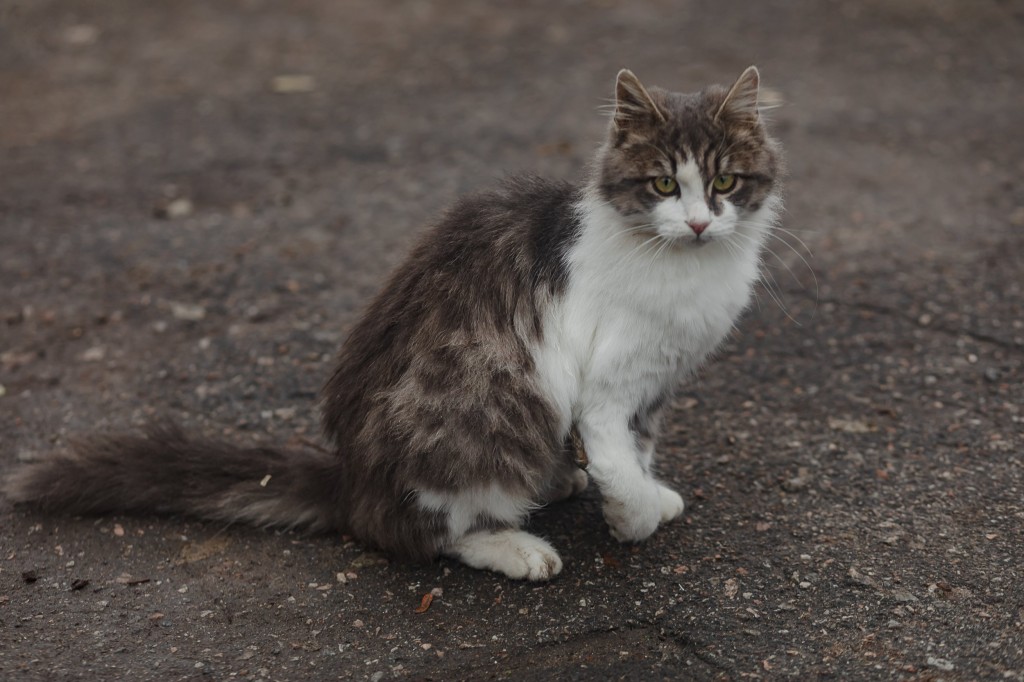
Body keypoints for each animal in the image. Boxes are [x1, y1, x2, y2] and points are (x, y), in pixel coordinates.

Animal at [2, 67, 782, 577]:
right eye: (662, 184)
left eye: (724, 182)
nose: (699, 222)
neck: (682, 267)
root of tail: (351, 480)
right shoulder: (605, 382)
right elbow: (619, 458)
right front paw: (632, 516)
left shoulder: (657, 382)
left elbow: (640, 449)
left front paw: (646, 495)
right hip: (497, 404)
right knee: (426, 531)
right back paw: (514, 544)